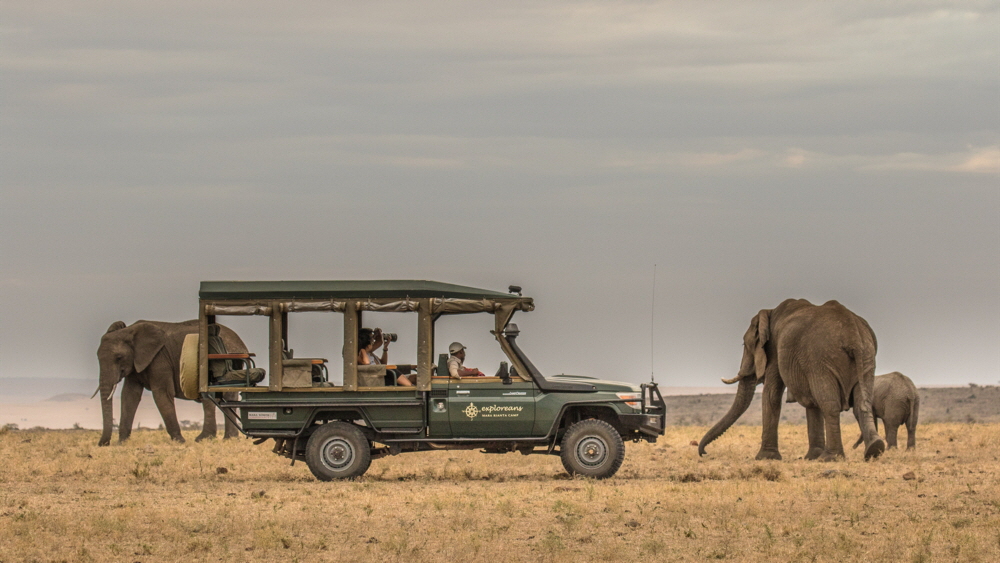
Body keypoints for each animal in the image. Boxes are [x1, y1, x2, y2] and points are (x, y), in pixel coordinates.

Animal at [96, 320, 248, 448]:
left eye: (119, 357)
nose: (103, 444)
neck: (129, 330)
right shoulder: (135, 364)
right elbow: (129, 396)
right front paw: (121, 443)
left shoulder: (160, 359)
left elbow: (161, 394)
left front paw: (179, 441)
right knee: (229, 399)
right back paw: (229, 439)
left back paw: (203, 439)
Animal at [700, 300, 888, 462]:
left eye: (744, 345)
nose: (704, 453)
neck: (770, 312)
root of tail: (853, 335)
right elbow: (811, 403)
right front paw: (811, 457)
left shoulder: (776, 351)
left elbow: (772, 394)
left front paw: (765, 458)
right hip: (866, 357)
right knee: (861, 404)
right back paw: (874, 449)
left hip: (822, 359)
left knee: (830, 405)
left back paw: (830, 458)